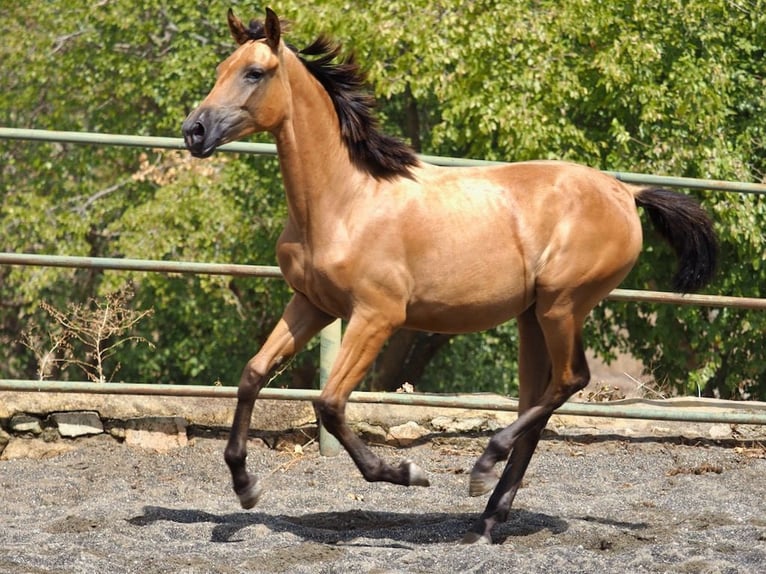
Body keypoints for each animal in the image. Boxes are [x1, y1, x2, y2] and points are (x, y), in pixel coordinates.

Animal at [183, 9, 716, 548]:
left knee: (571, 381)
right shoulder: (312, 305)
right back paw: (487, 521)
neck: (345, 200)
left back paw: (482, 467)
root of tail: (625, 192)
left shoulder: (376, 316)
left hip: (561, 305)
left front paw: (406, 473)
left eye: (255, 73)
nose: (194, 131)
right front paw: (245, 485)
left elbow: (329, 402)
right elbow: (252, 375)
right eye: (220, 69)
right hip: (532, 316)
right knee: (538, 403)